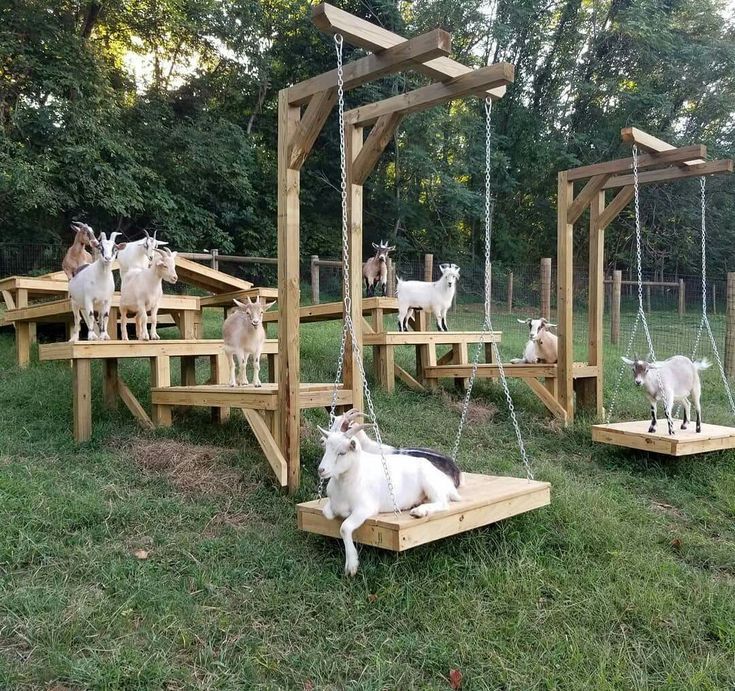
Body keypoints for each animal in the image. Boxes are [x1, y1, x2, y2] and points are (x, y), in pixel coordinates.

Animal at [318, 424, 460, 576]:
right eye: (326, 449)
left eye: (342, 453)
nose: (321, 470)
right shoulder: (333, 504)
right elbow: (327, 513)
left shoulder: (365, 508)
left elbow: (344, 528)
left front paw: (351, 565)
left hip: (430, 482)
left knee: (443, 503)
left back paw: (419, 511)